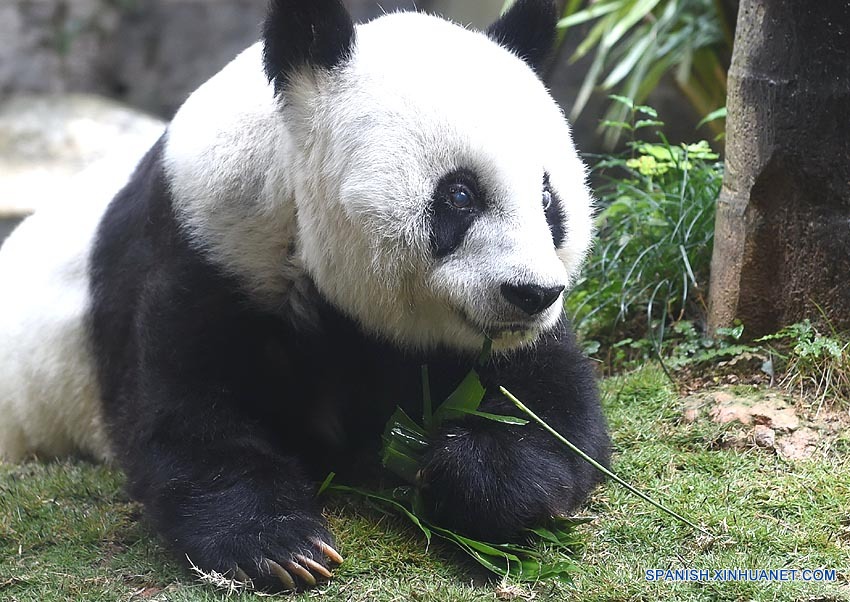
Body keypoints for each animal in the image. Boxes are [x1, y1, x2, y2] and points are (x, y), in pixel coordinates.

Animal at [0, 0, 608, 592]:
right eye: (460, 194)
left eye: (549, 199)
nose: (531, 292)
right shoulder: (205, 250)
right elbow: (187, 418)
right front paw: (279, 547)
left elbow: (556, 415)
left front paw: (466, 469)